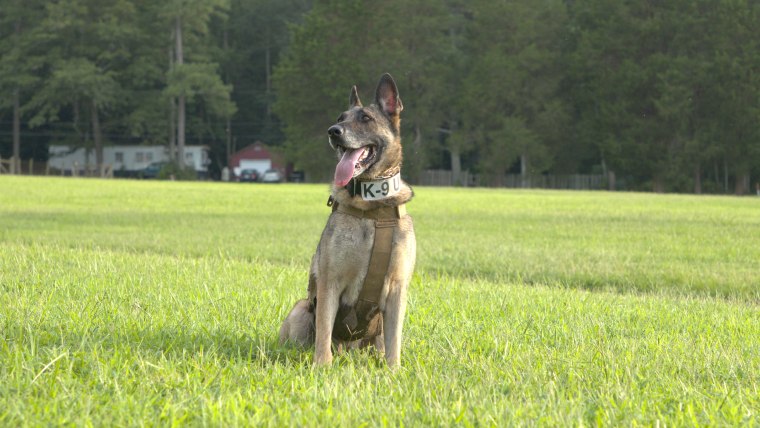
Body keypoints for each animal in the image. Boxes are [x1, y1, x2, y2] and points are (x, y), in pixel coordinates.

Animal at [280, 73, 416, 368]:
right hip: (300, 308)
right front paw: (322, 366)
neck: (371, 207)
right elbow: (323, 331)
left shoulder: (397, 289)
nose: (333, 131)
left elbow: (395, 340)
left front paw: (394, 370)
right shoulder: (330, 283)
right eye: (340, 118)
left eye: (365, 118)